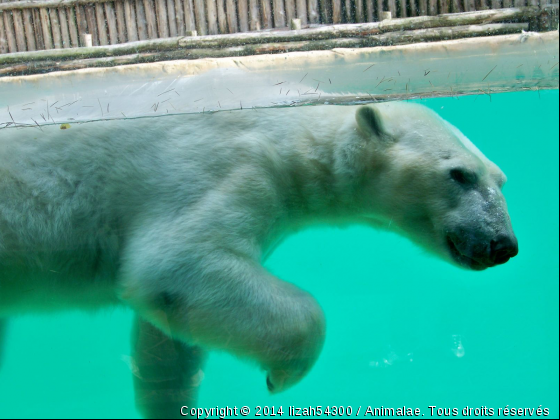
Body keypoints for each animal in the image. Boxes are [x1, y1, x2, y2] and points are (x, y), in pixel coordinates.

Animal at [0, 103, 516, 418]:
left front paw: (168, 400)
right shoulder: (226, 167)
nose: (503, 244)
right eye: (459, 174)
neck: (289, 133)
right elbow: (177, 263)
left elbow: (169, 331)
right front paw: (282, 375)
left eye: (501, 179)